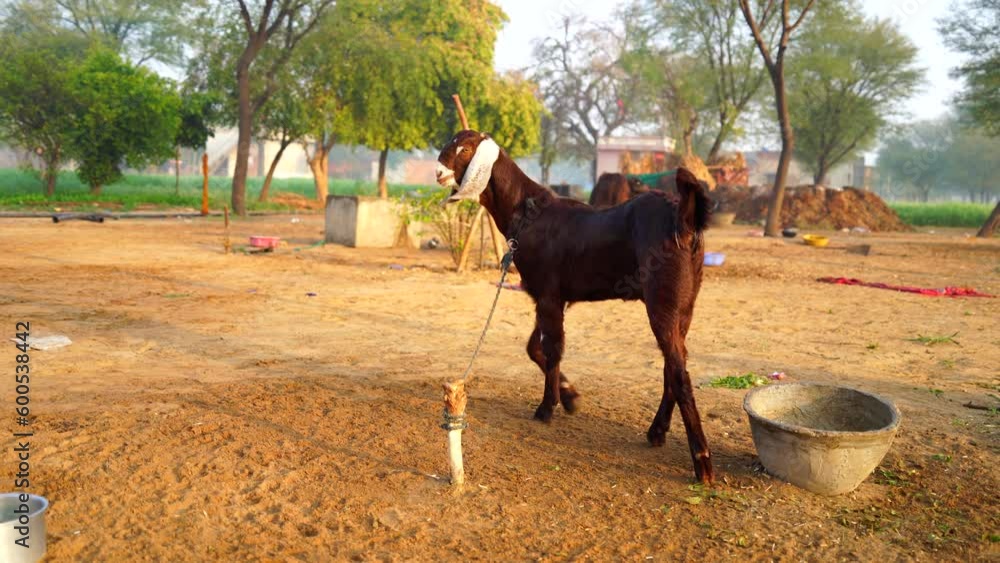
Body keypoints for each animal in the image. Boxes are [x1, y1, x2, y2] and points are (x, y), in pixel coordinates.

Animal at [436, 130, 714, 483]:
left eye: (465, 149)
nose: (438, 172)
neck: (528, 212)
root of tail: (683, 219)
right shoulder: (551, 295)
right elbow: (535, 348)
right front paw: (569, 394)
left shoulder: (548, 295)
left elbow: (552, 349)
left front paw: (546, 408)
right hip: (686, 303)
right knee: (674, 363)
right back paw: (657, 431)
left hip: (663, 300)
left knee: (679, 372)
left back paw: (702, 462)